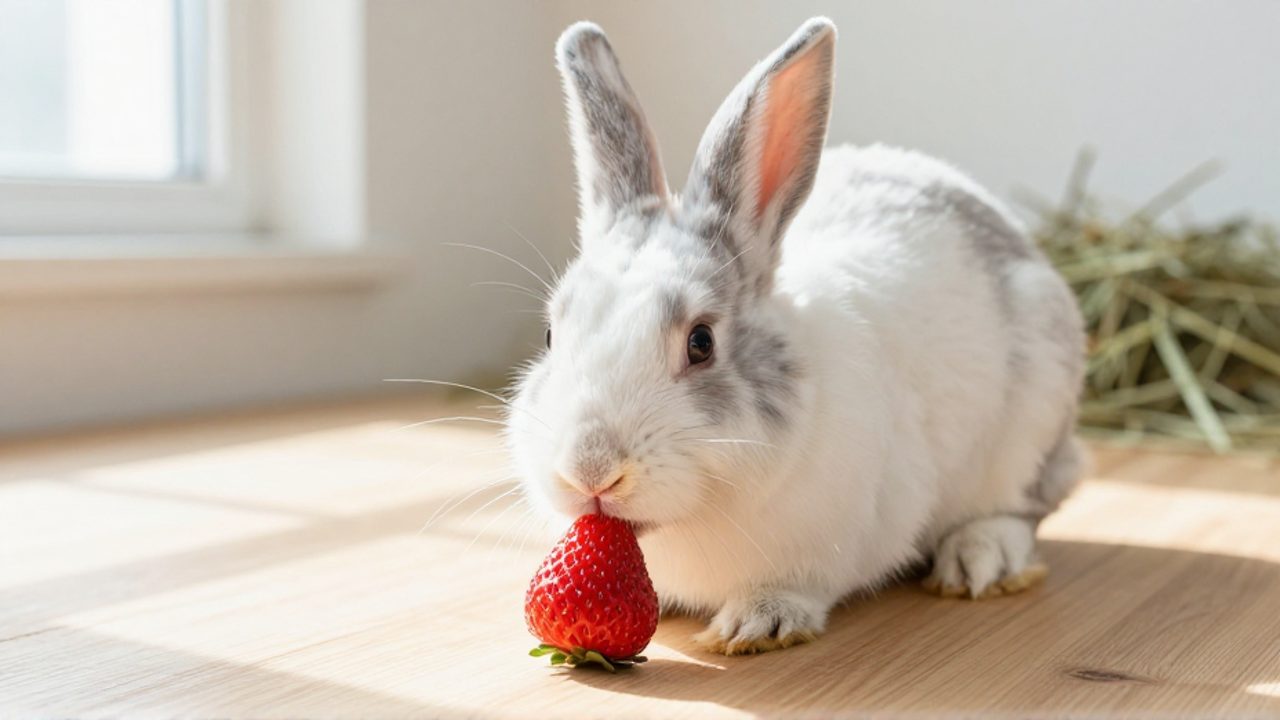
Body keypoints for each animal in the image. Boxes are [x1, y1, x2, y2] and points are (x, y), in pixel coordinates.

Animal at [505, 16, 1085, 656]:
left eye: (701, 342)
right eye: (551, 334)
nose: (590, 469)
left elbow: (800, 587)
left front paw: (758, 624)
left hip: (1033, 425)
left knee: (1026, 506)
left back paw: (978, 560)